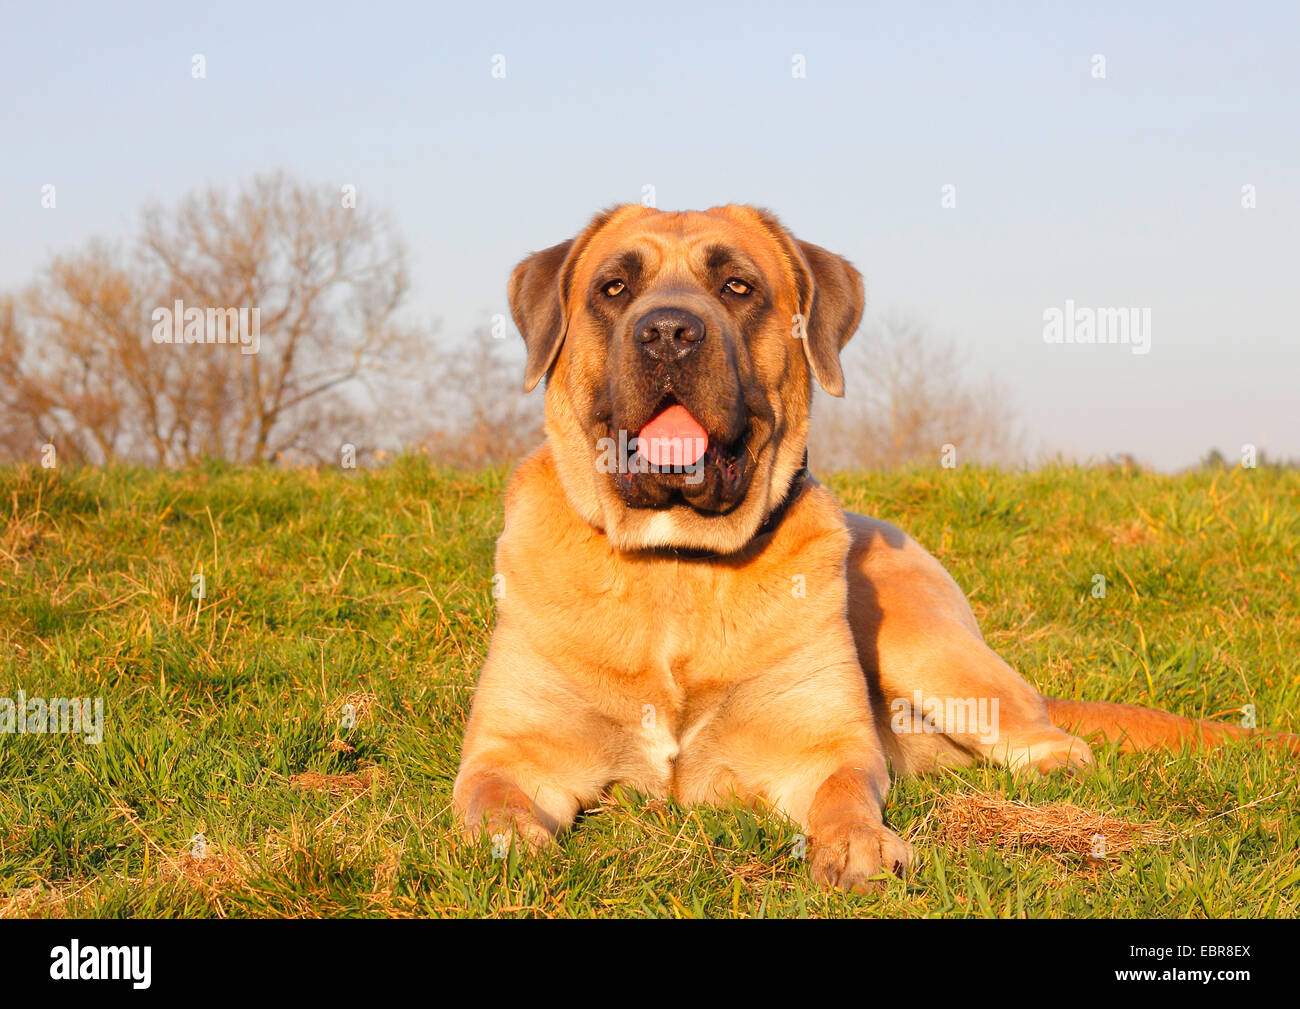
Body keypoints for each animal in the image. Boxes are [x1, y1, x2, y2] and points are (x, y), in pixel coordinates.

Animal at [452, 205, 1284, 889]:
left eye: (737, 286)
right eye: (615, 287)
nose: (667, 332)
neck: (677, 565)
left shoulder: (822, 746)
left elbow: (846, 791)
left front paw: (858, 845)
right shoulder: (511, 748)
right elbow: (491, 798)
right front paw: (512, 839)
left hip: (926, 645)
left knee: (1051, 740)